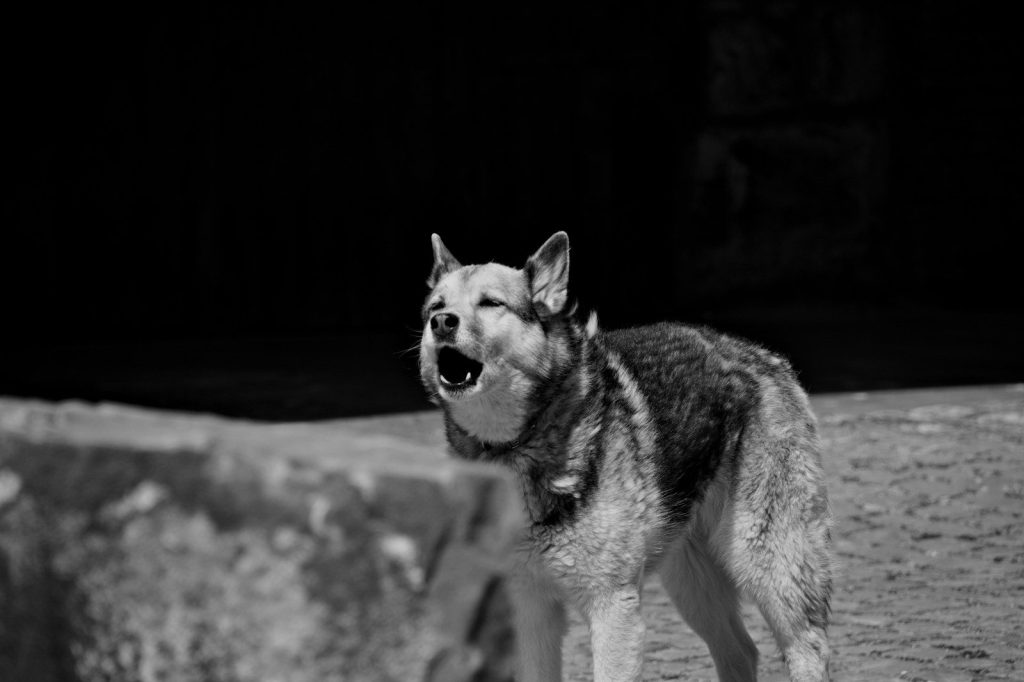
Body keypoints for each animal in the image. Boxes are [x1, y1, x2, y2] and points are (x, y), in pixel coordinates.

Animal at [419, 232, 833, 682]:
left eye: (491, 303)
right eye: (436, 307)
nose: (442, 323)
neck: (519, 442)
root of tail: (764, 356)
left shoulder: (612, 606)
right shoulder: (529, 610)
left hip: (767, 565)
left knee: (807, 647)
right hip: (691, 581)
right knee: (742, 651)